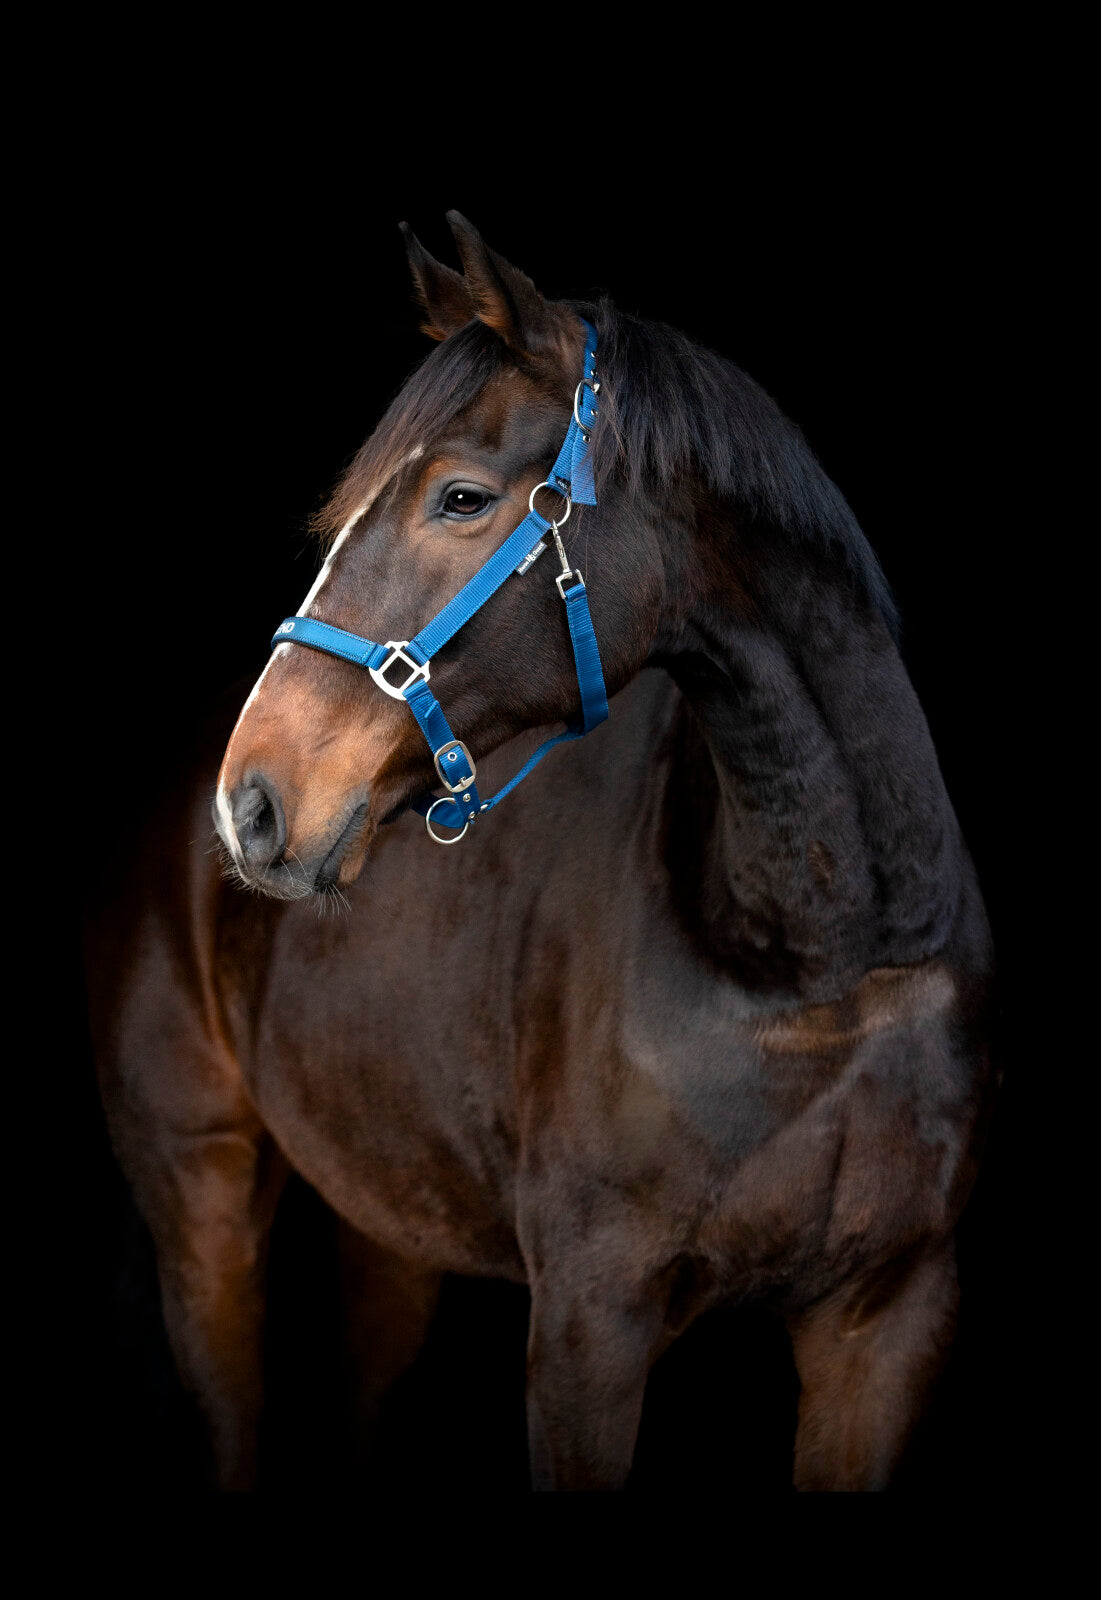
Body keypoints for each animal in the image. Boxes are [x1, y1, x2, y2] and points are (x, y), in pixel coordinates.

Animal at [84, 211, 995, 1491]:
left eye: (461, 497)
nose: (254, 800)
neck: (825, 959)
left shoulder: (889, 1319)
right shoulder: (587, 1319)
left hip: (389, 1221)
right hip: (201, 1202)